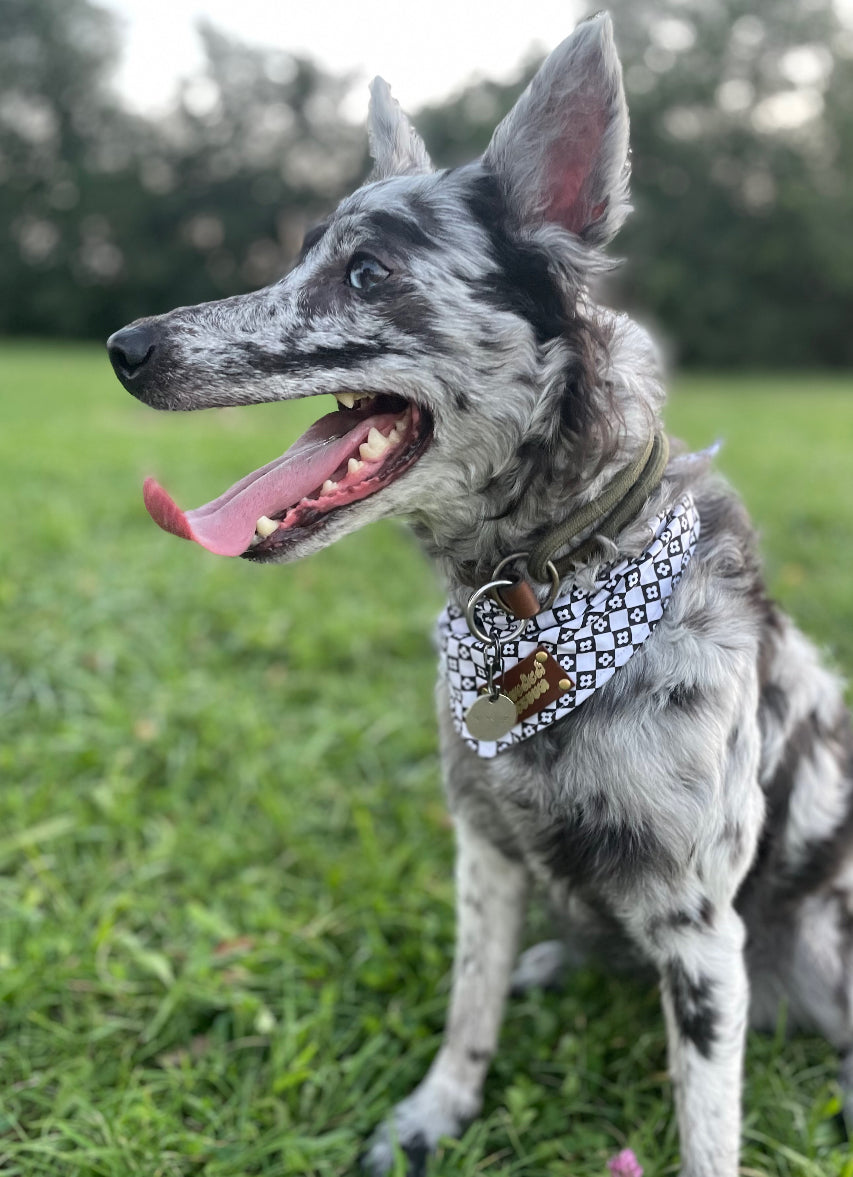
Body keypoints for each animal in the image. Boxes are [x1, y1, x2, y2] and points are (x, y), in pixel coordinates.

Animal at [108, 13, 851, 1172]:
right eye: (301, 254)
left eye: (366, 272)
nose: (124, 347)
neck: (549, 597)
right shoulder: (486, 852)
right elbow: (468, 1010)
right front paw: (435, 1113)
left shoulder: (698, 931)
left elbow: (706, 1125)